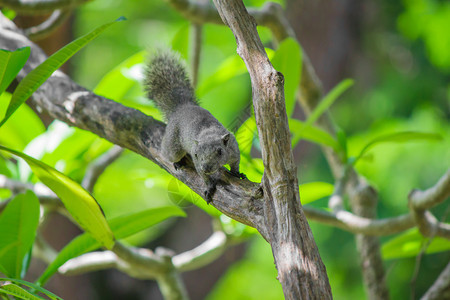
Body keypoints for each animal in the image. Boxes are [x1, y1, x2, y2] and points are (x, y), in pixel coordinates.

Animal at [145, 50, 246, 203]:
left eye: (220, 152)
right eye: (197, 154)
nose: (206, 167)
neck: (209, 133)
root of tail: (182, 107)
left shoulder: (234, 149)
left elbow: (235, 163)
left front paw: (237, 173)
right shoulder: (197, 163)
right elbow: (204, 178)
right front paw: (209, 187)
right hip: (173, 146)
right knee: (167, 153)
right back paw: (176, 161)